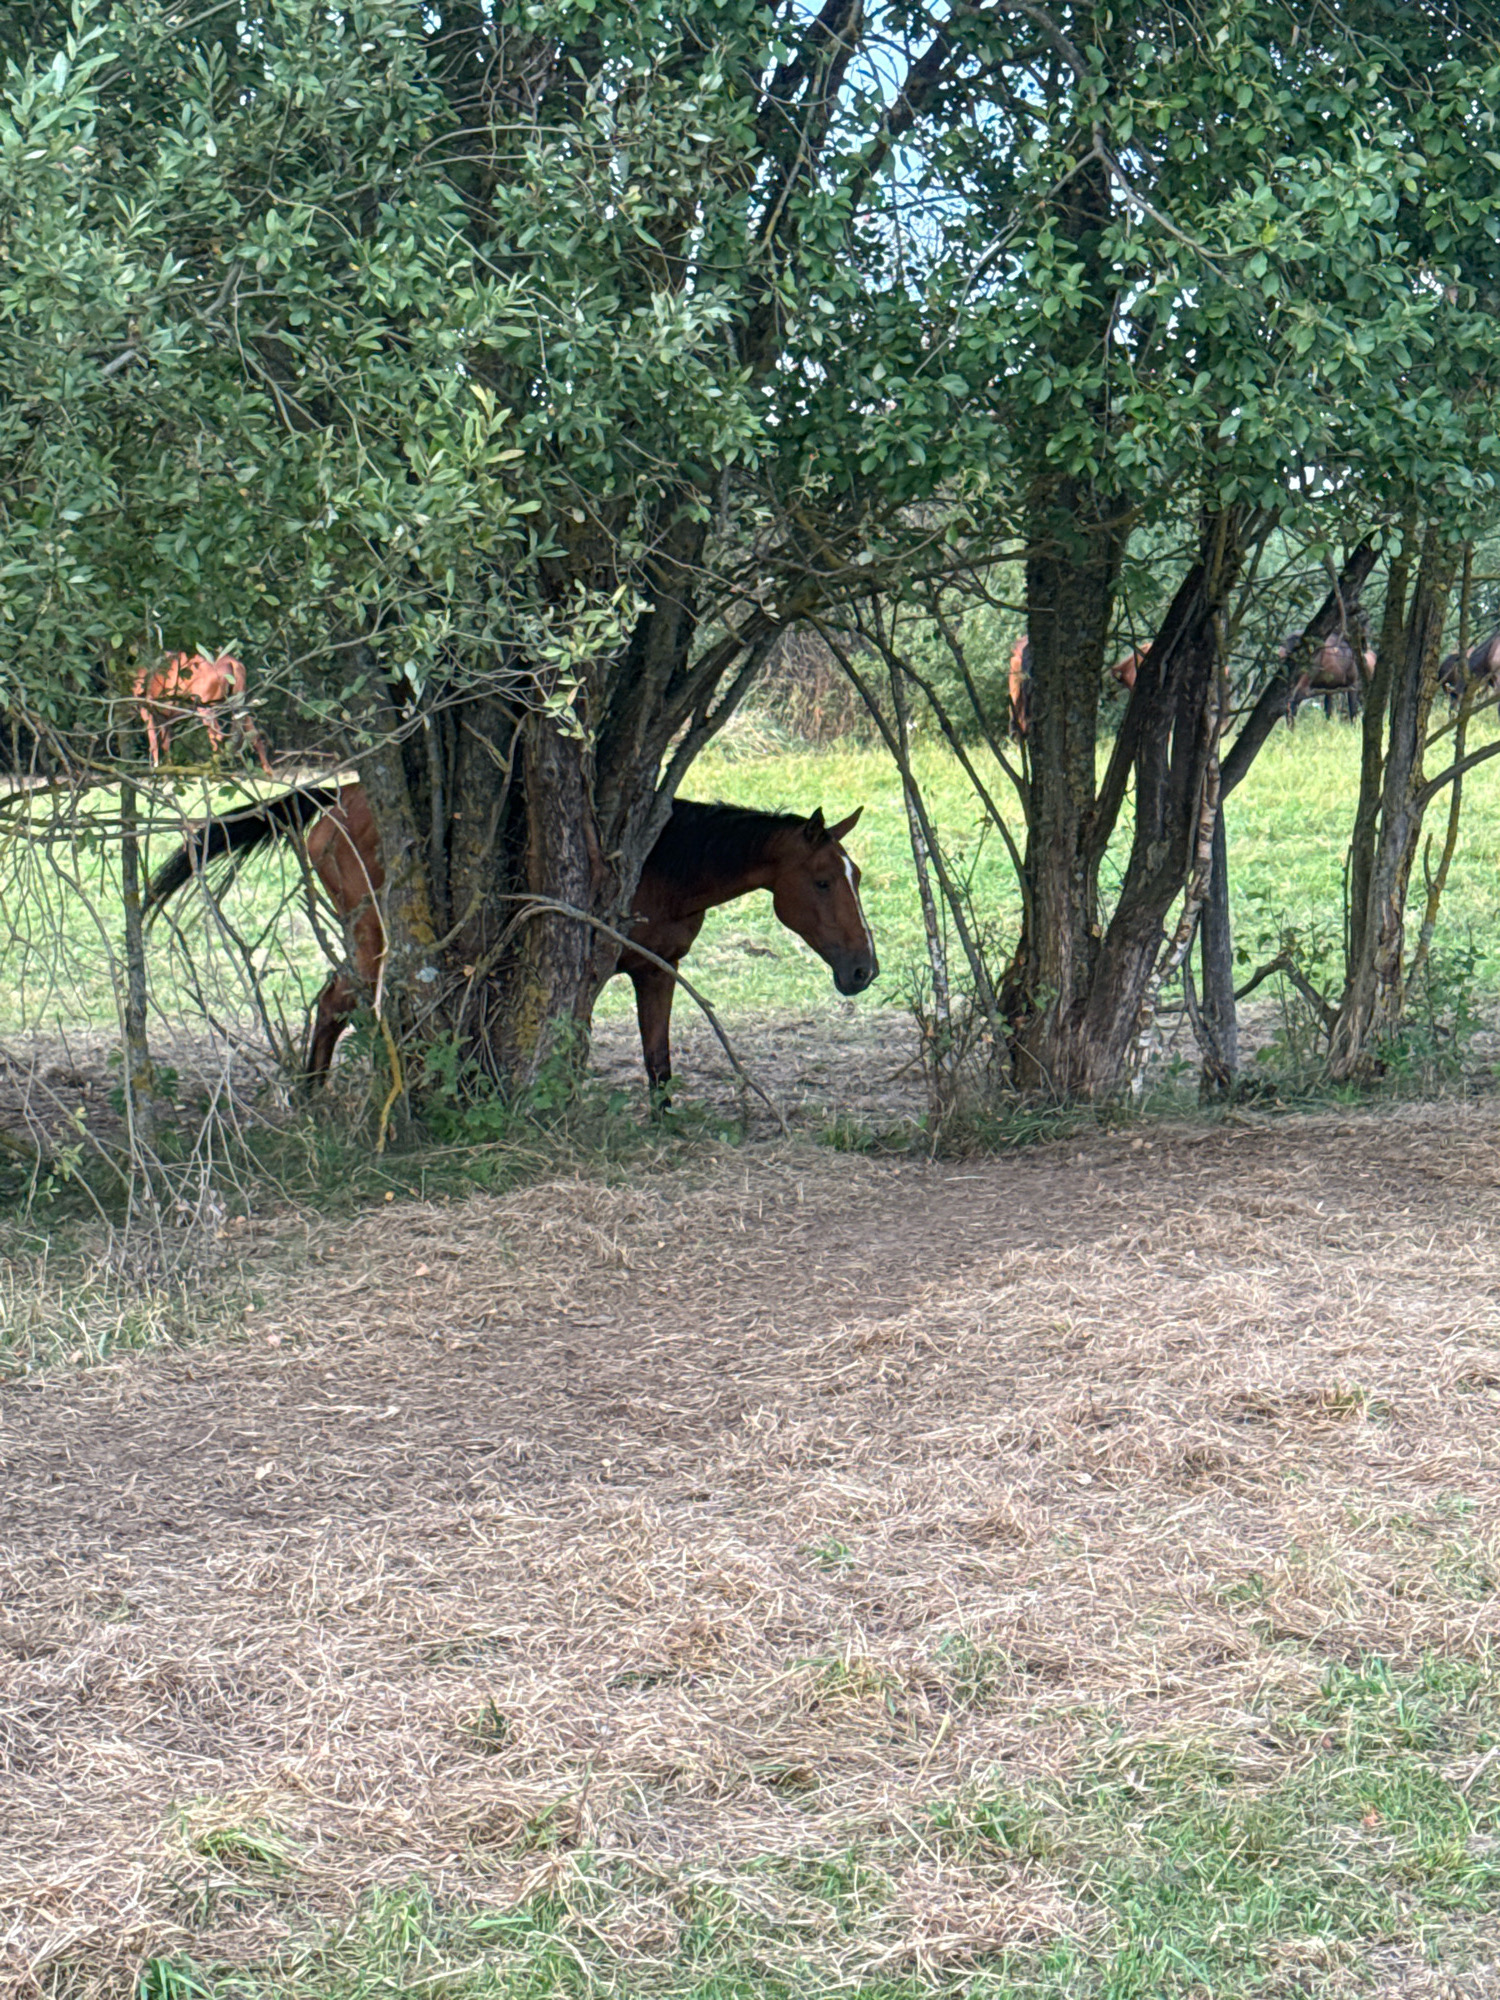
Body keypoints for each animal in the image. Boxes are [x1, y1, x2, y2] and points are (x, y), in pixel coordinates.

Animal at [133, 651, 273, 774]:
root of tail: (234, 663)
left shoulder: (151, 712)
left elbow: (154, 744)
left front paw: (158, 771)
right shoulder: (166, 717)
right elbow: (165, 744)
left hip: (206, 706)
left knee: (217, 735)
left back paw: (215, 768)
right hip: (238, 703)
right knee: (253, 734)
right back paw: (267, 772)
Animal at [147, 786, 878, 1092]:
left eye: (857, 875)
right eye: (821, 881)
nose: (863, 971)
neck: (660, 863)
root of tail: (331, 803)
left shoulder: (657, 970)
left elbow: (659, 1065)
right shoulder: (589, 970)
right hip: (376, 944)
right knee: (337, 1005)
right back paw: (318, 1100)